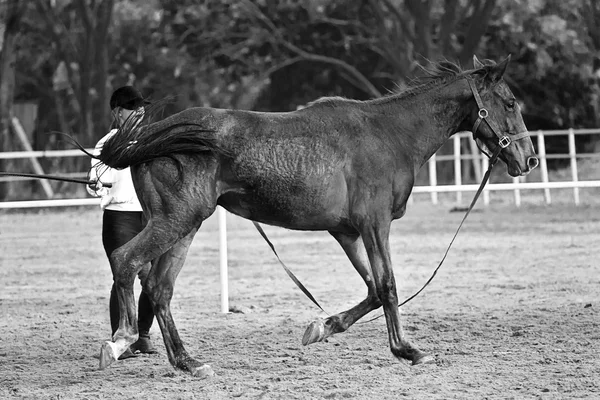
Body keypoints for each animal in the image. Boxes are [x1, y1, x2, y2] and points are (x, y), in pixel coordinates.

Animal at [92, 54, 540, 376]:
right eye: (510, 102)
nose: (530, 159)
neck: (390, 135)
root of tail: (148, 137)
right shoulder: (374, 225)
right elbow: (389, 286)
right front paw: (407, 350)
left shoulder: (348, 232)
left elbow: (373, 290)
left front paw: (322, 328)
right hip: (178, 221)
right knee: (126, 261)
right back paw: (120, 341)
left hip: (184, 227)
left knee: (159, 288)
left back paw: (187, 362)